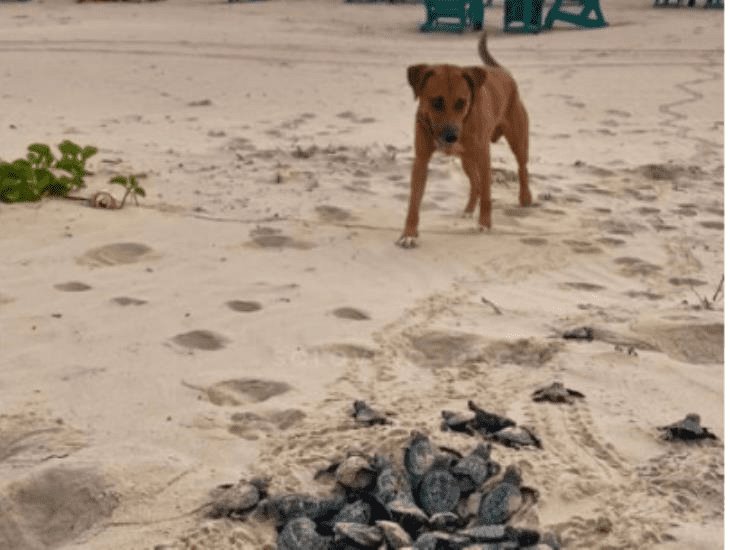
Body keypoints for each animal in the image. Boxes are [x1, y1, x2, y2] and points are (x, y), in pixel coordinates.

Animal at [398, 31, 528, 249]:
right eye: (436, 102)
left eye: (462, 102)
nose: (451, 137)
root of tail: (503, 72)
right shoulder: (421, 160)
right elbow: (414, 201)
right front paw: (409, 234)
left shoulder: (483, 155)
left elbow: (487, 192)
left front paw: (485, 223)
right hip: (466, 159)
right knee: (475, 182)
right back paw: (468, 209)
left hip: (518, 139)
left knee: (521, 167)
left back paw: (525, 197)